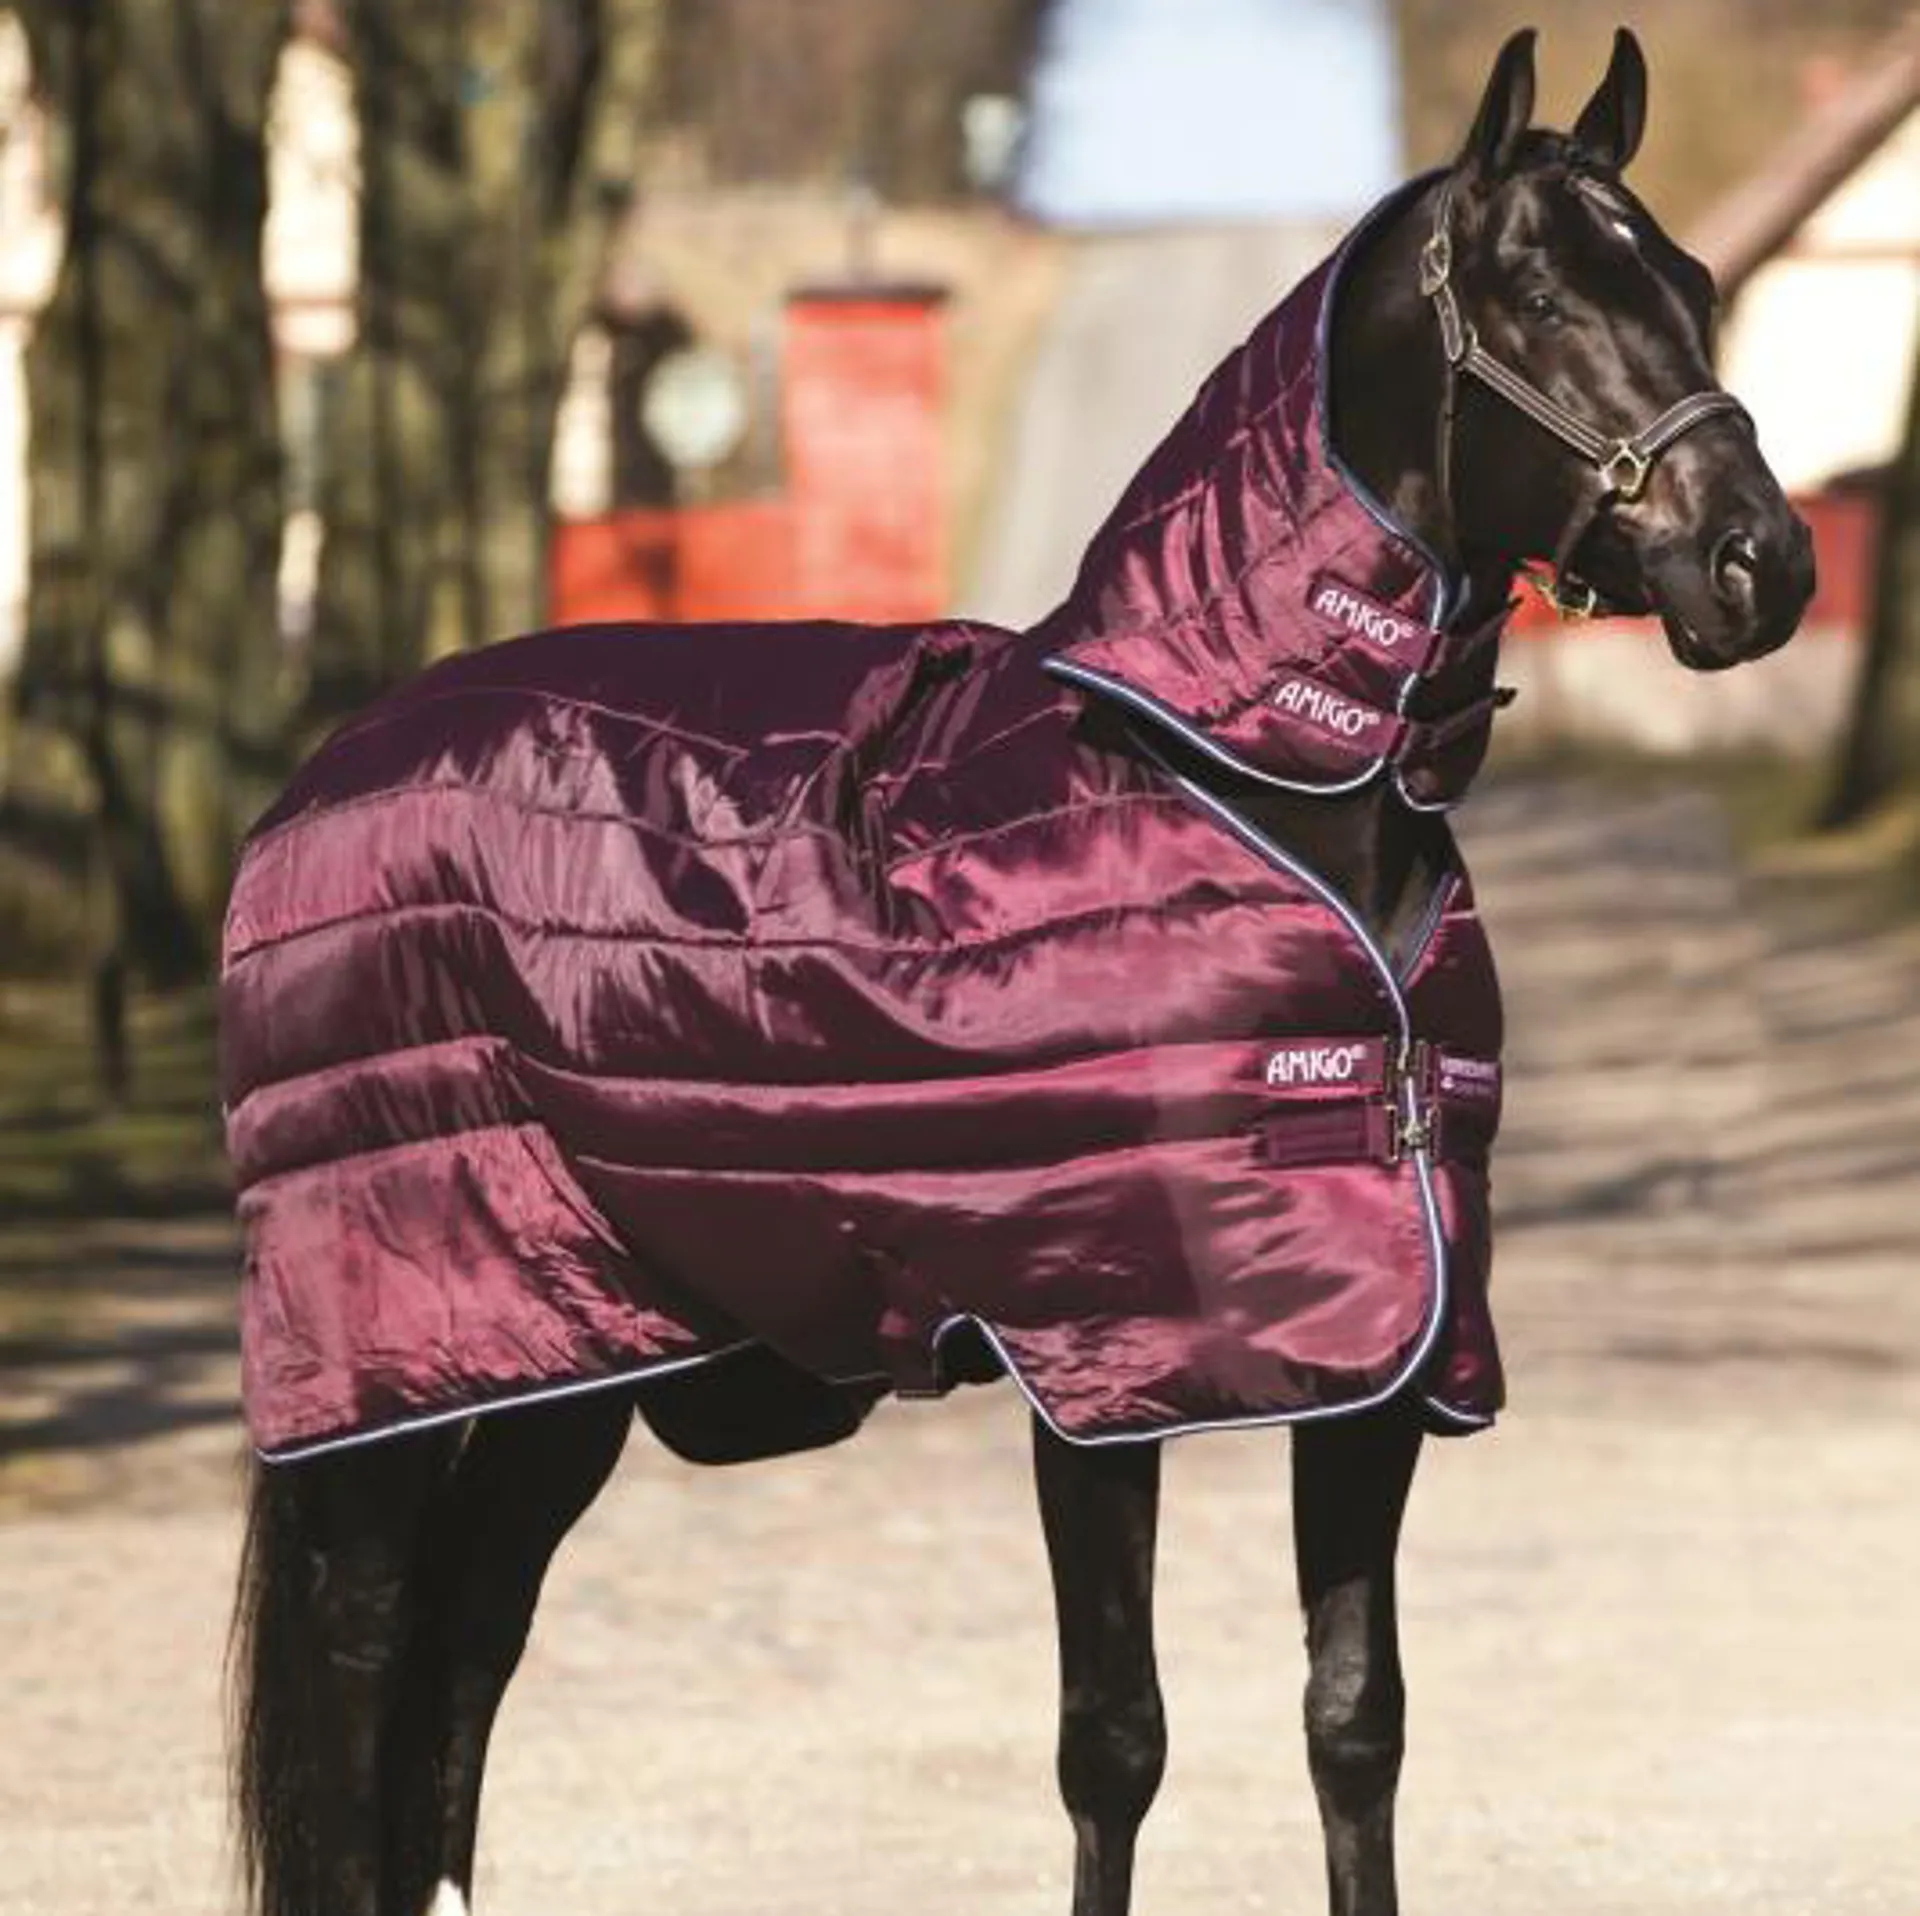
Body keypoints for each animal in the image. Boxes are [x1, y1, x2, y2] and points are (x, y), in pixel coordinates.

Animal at [228, 28, 1813, 1916]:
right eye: (1540, 292)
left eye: (1695, 284)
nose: (1763, 563)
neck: (1238, 777)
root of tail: (323, 769)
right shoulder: (1098, 1371)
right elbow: (1114, 1740)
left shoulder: (1384, 1363)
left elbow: (1357, 1724)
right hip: (394, 1382)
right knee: (371, 1660)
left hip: (565, 1358)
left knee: (462, 1676)